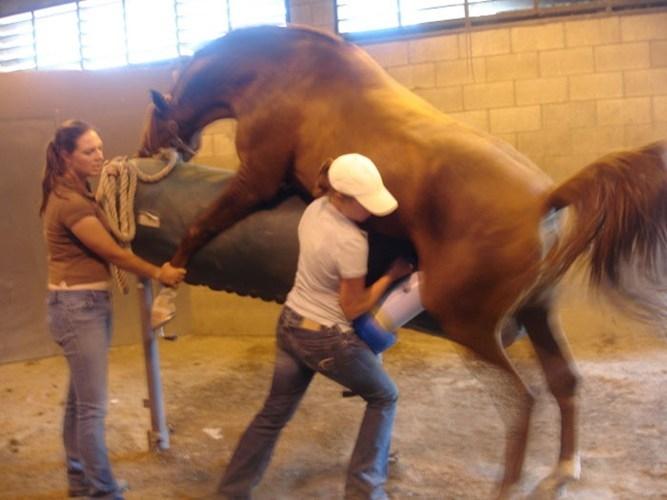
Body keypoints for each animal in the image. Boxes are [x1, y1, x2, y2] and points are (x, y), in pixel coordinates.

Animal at [138, 24, 667, 500]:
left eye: (153, 117)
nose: (144, 152)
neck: (279, 73)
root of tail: (546, 202)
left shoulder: (256, 181)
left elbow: (199, 226)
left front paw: (166, 293)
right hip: (538, 313)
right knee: (565, 383)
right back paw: (561, 471)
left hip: (470, 328)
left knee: (522, 402)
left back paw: (508, 484)